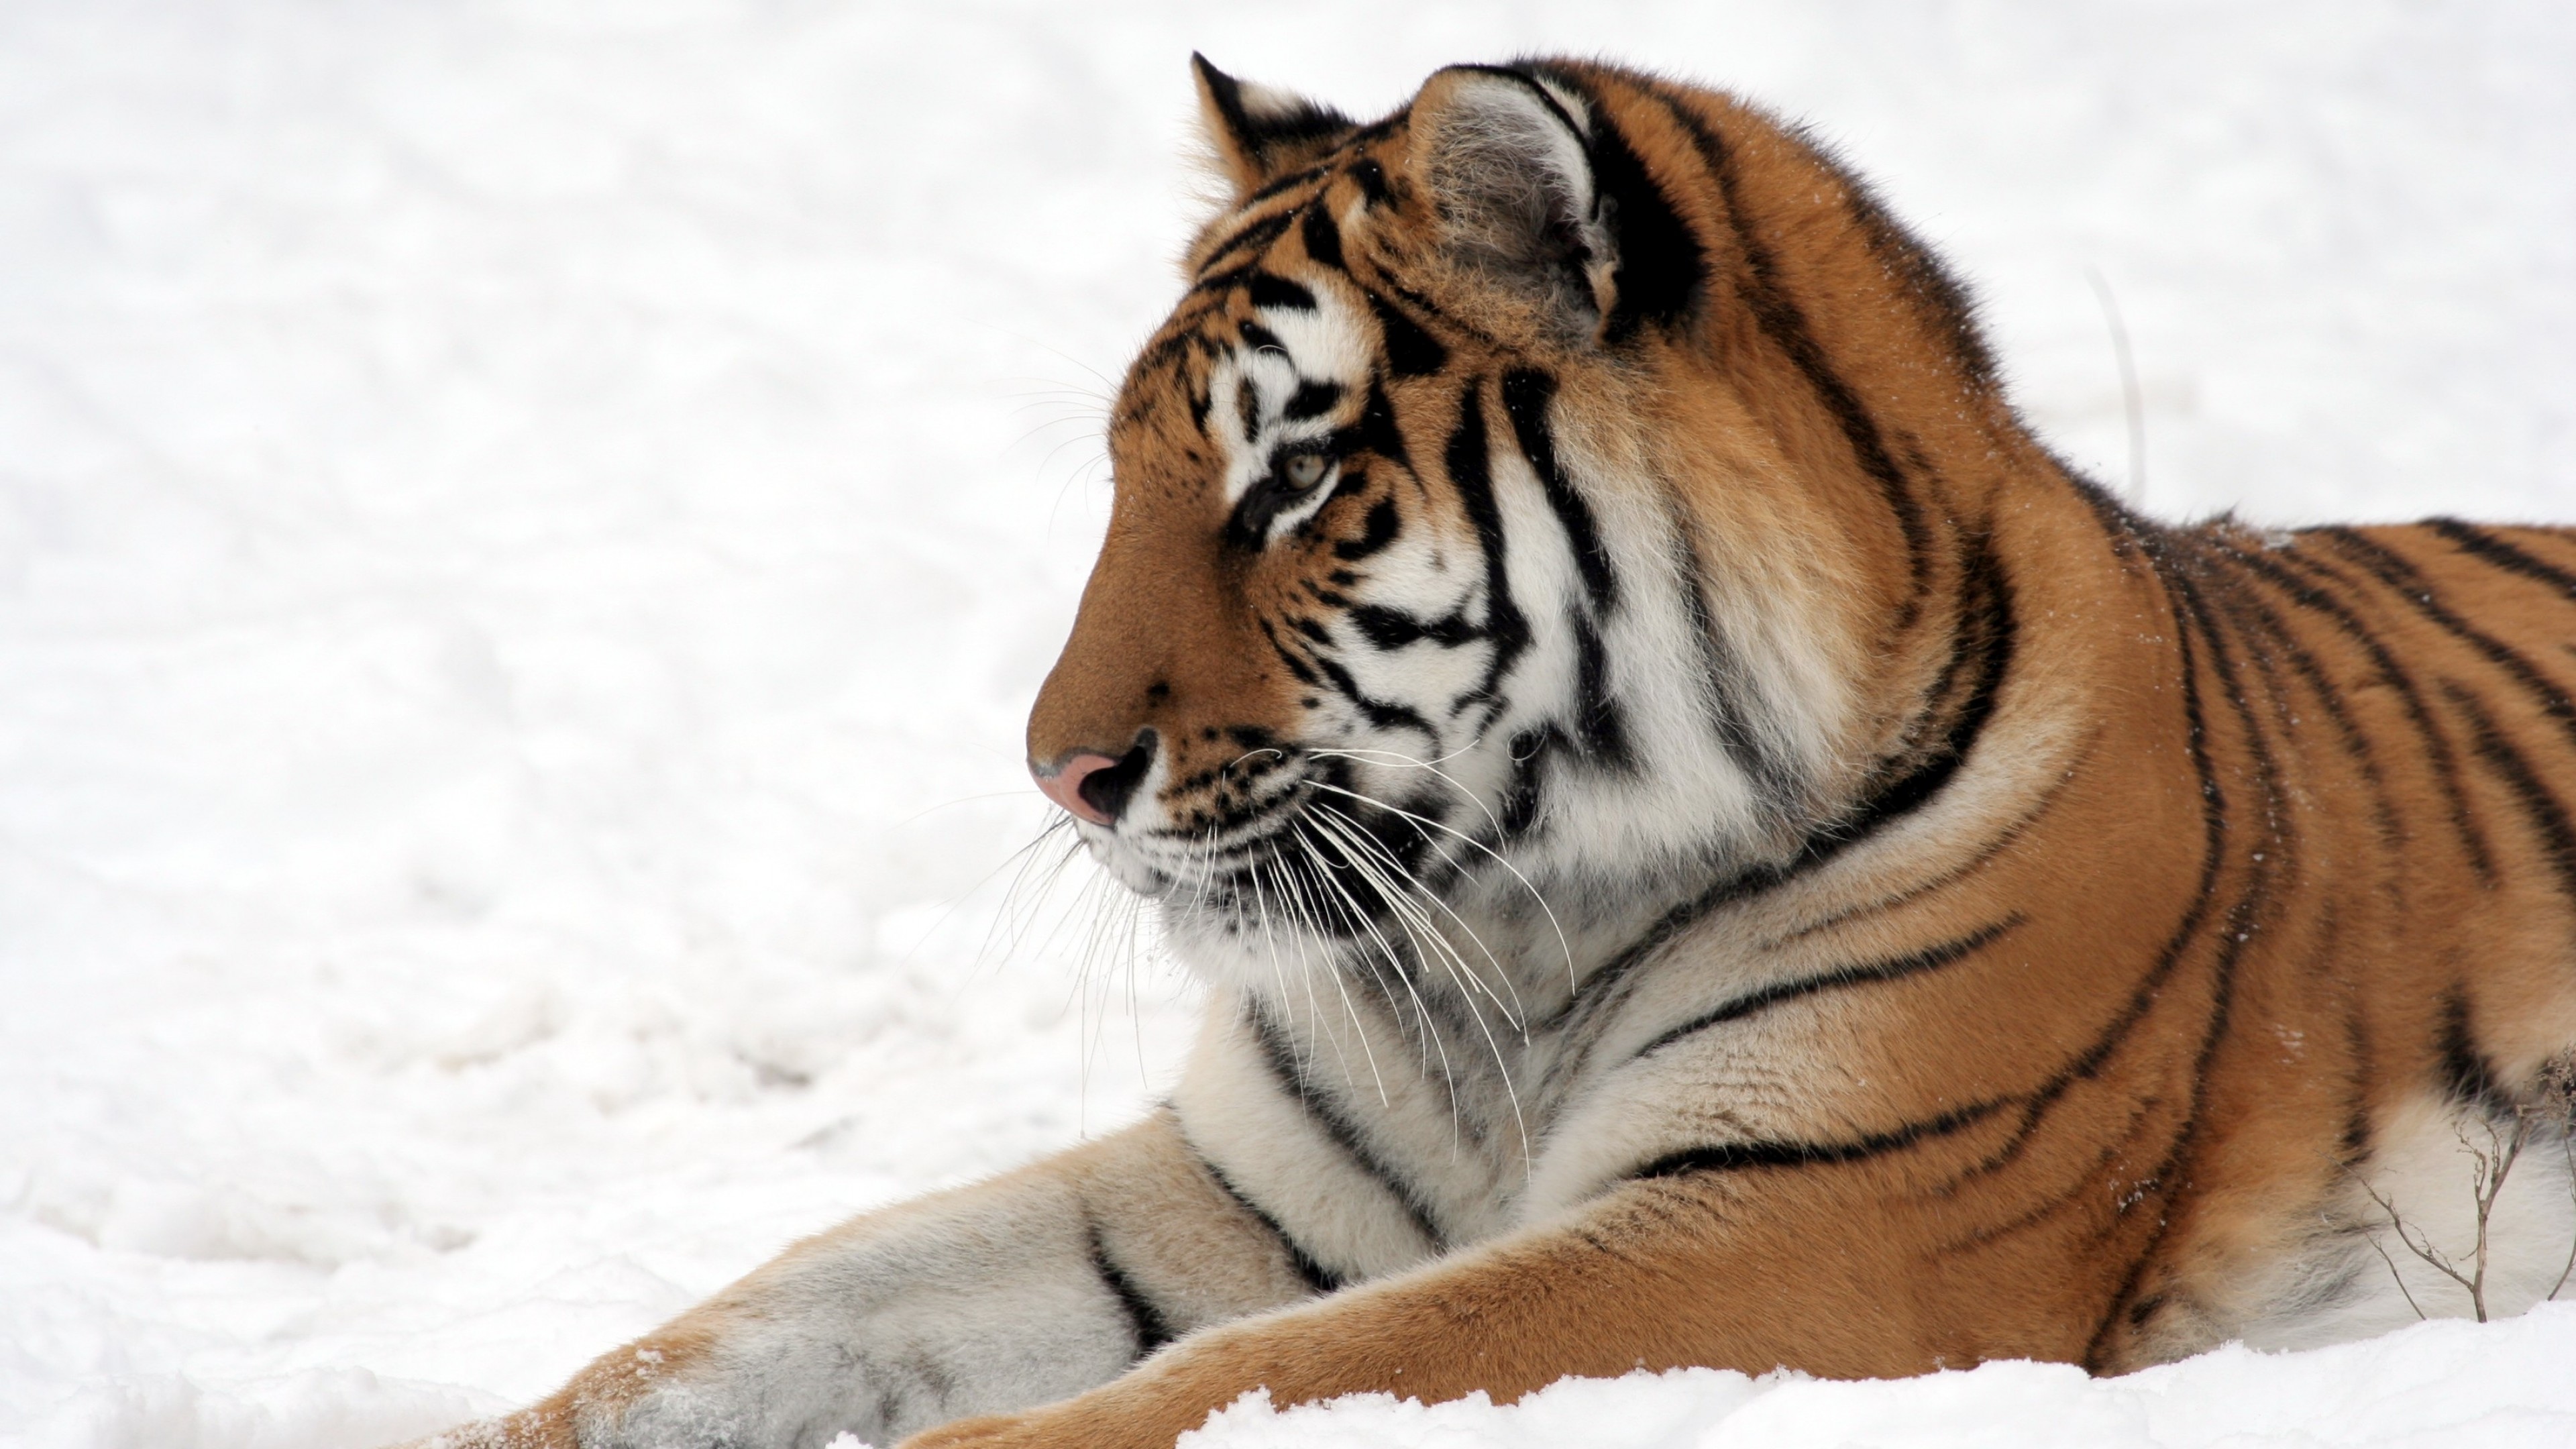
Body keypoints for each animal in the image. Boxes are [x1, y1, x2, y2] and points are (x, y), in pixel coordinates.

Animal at [407, 55, 2576, 1449]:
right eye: (1124, 471)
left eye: (1293, 480)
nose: (1056, 774)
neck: (1514, 940)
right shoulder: (1240, 1189)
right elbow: (778, 1306)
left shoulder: (1796, 1218)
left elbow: (1229, 1383)